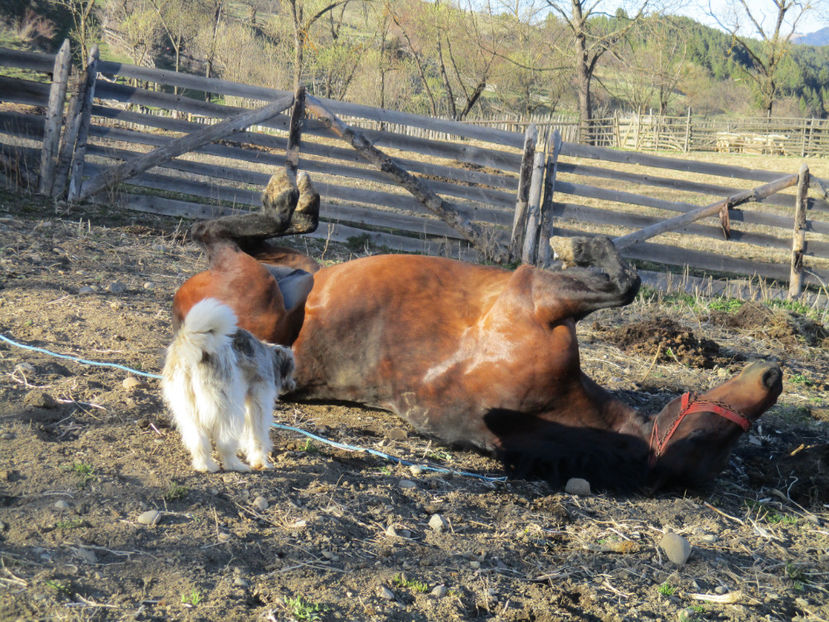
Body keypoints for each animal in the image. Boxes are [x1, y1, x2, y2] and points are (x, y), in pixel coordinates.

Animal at [162, 298, 294, 472]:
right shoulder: (259, 403)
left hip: (188, 409)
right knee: (225, 443)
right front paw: (261, 462)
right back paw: (235, 465)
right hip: (227, 410)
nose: (293, 386)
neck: (267, 356)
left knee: (199, 442)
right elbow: (257, 436)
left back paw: (205, 466)